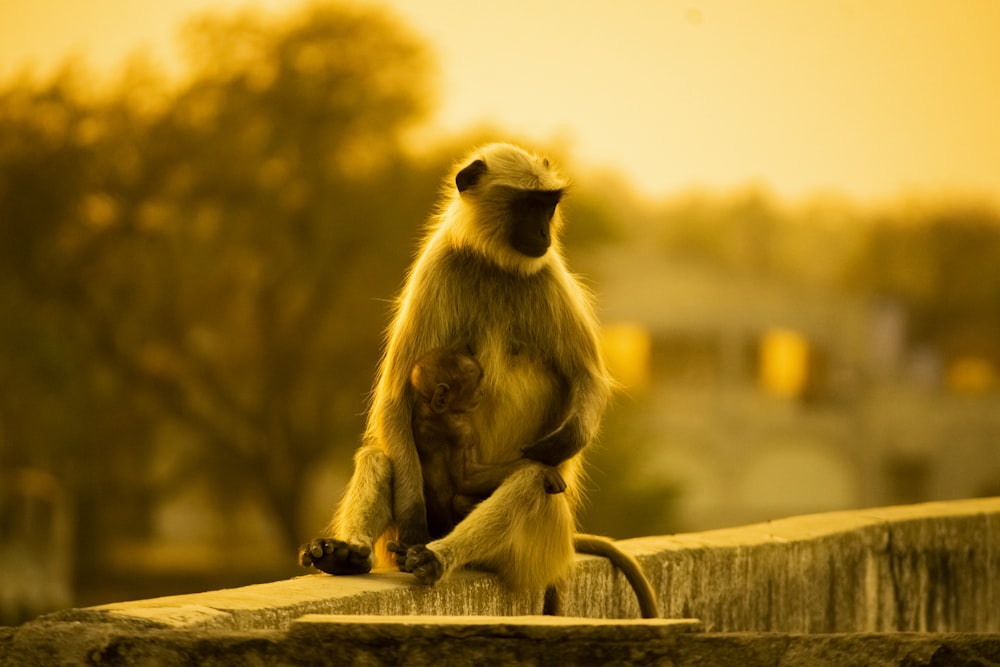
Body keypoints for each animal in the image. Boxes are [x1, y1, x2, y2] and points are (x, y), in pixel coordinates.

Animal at [296, 142, 656, 620]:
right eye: (528, 205)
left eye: (548, 204)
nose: (543, 231)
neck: (493, 261)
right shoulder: (438, 264)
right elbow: (394, 398)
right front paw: (410, 521)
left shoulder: (549, 274)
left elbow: (589, 378)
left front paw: (565, 441)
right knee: (379, 453)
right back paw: (349, 554)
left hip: (540, 541)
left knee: (533, 480)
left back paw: (436, 557)